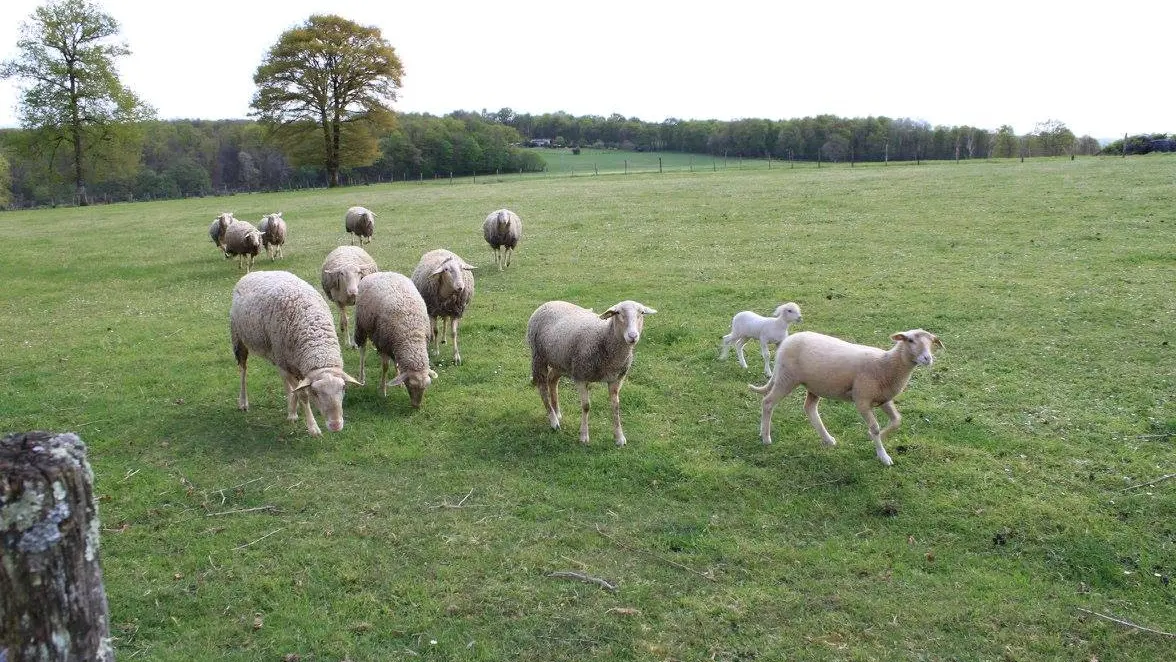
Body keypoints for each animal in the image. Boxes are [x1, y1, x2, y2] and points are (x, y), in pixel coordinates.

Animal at [226, 269, 359, 435]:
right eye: (315, 392)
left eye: (343, 388)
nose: (335, 425)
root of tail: (254, 272)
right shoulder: (289, 365)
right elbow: (302, 394)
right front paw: (313, 427)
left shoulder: (295, 363)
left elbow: (296, 390)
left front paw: (292, 412)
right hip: (239, 338)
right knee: (243, 371)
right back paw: (243, 402)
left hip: (279, 354)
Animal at [355, 270, 439, 409]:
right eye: (411, 385)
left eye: (426, 387)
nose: (416, 406)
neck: (411, 334)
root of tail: (383, 272)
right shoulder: (383, 344)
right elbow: (385, 367)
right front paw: (383, 390)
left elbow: (397, 364)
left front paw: (399, 382)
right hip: (361, 326)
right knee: (363, 351)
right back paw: (362, 378)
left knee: (396, 361)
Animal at [529, 301, 658, 449]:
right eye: (618, 313)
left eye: (641, 313)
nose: (632, 336)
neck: (605, 337)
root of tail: (550, 302)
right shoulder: (580, 376)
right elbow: (586, 406)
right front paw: (584, 436)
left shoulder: (616, 379)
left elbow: (615, 407)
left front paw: (619, 437)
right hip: (538, 356)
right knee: (542, 387)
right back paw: (553, 421)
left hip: (561, 362)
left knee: (552, 380)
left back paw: (557, 412)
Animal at [752, 326, 945, 463]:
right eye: (910, 340)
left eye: (931, 342)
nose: (927, 358)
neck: (886, 365)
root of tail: (786, 342)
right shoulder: (862, 400)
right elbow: (875, 427)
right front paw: (883, 455)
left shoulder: (883, 399)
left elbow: (897, 420)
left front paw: (877, 438)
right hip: (787, 378)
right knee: (768, 402)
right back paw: (766, 437)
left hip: (815, 385)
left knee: (809, 408)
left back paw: (828, 439)